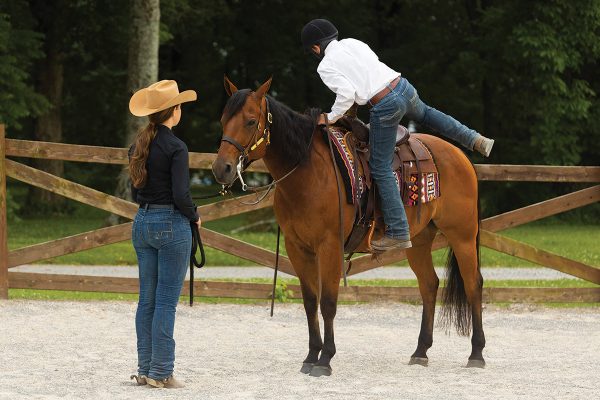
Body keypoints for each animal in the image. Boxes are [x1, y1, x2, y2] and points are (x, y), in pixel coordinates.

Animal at [213, 76, 486, 376]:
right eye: (223, 119)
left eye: (251, 121)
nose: (221, 168)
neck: (308, 172)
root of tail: (461, 157)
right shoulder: (297, 248)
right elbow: (310, 301)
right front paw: (311, 355)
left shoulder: (329, 245)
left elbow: (328, 302)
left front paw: (325, 360)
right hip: (419, 240)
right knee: (429, 284)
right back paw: (420, 351)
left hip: (462, 235)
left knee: (473, 284)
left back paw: (476, 353)